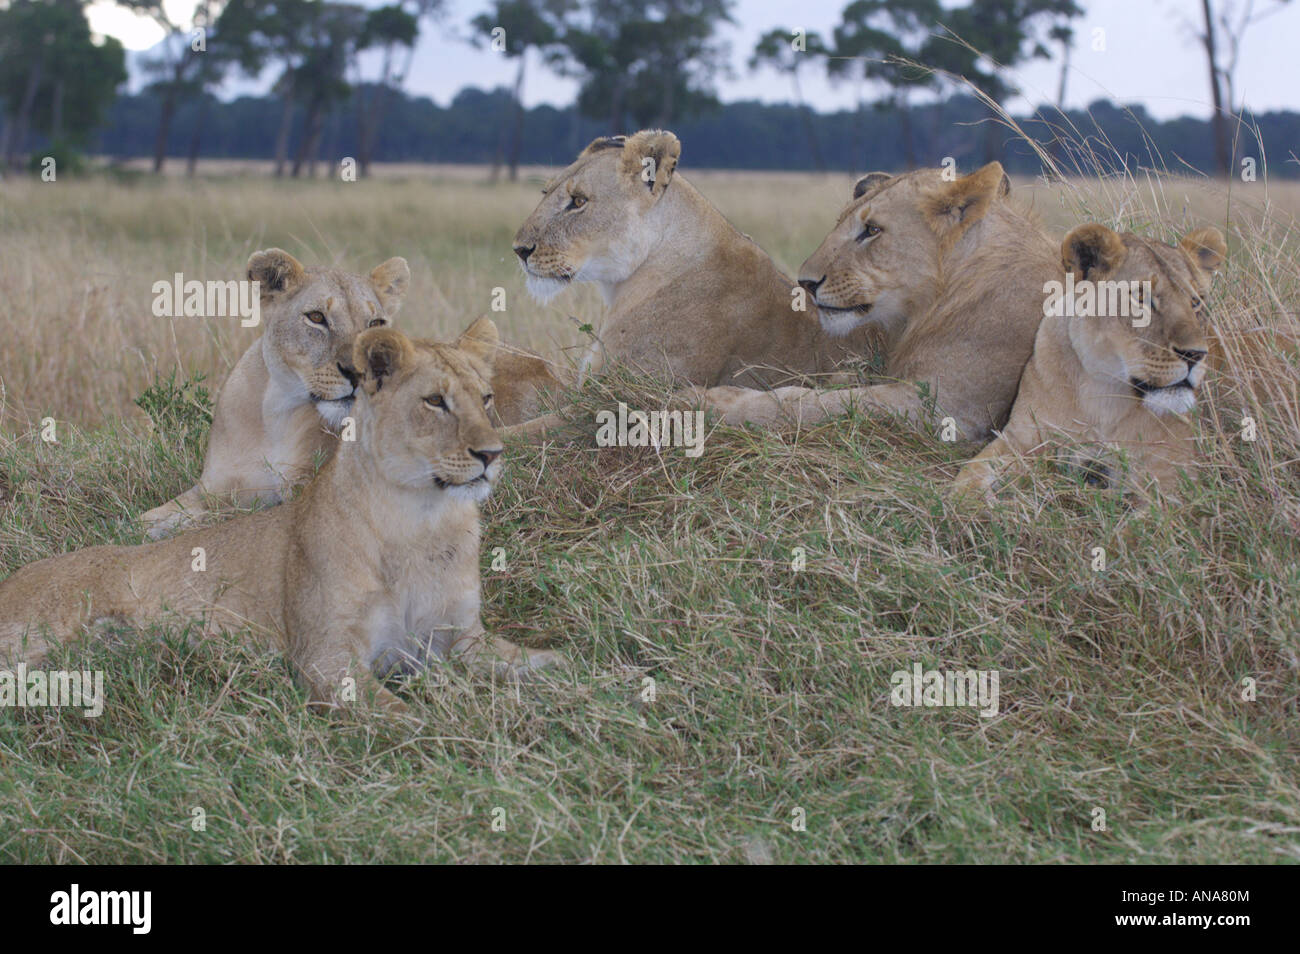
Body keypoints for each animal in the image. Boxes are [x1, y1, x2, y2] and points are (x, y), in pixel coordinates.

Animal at [0, 320, 563, 711]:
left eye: (485, 398)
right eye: (435, 402)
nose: (492, 454)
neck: (421, 517)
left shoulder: (464, 641)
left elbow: (547, 662)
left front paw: (582, 679)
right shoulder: (324, 659)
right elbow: (404, 716)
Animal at [141, 249, 566, 538]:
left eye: (375, 322)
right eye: (316, 318)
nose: (358, 372)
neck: (277, 410)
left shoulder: (304, 490)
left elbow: (225, 518)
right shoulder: (209, 487)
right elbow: (152, 515)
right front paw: (152, 524)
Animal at [951, 225, 1227, 500]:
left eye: (1196, 301)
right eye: (1141, 299)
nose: (1196, 354)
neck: (1103, 394)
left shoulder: (1178, 478)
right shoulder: (1020, 437)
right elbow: (969, 475)